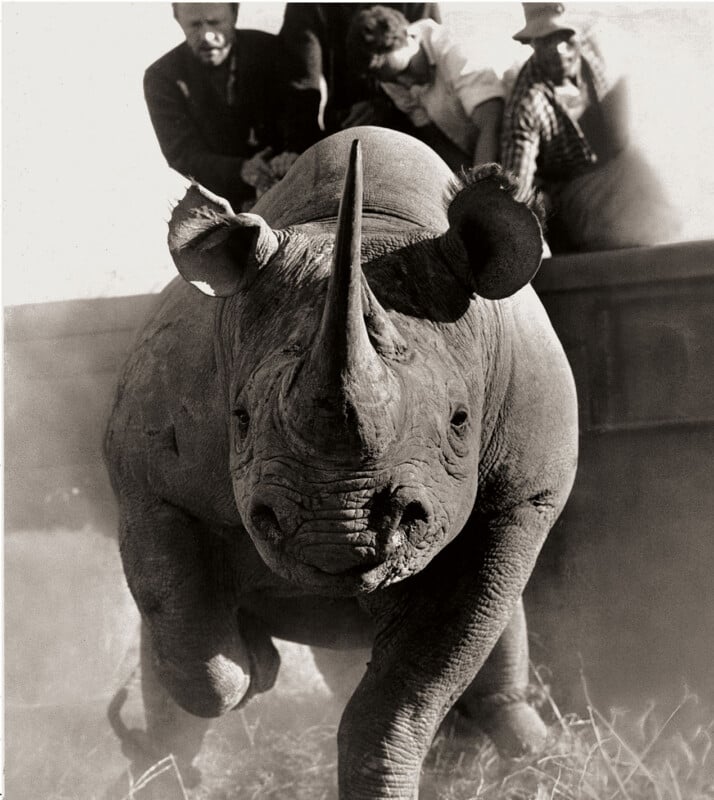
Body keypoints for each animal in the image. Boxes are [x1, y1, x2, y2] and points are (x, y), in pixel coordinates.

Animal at [105, 126, 578, 799]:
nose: (334, 534)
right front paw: (256, 666)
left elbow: (410, 691)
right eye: (239, 419)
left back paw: (539, 757)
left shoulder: (519, 501)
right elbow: (186, 636)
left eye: (461, 421)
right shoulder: (146, 478)